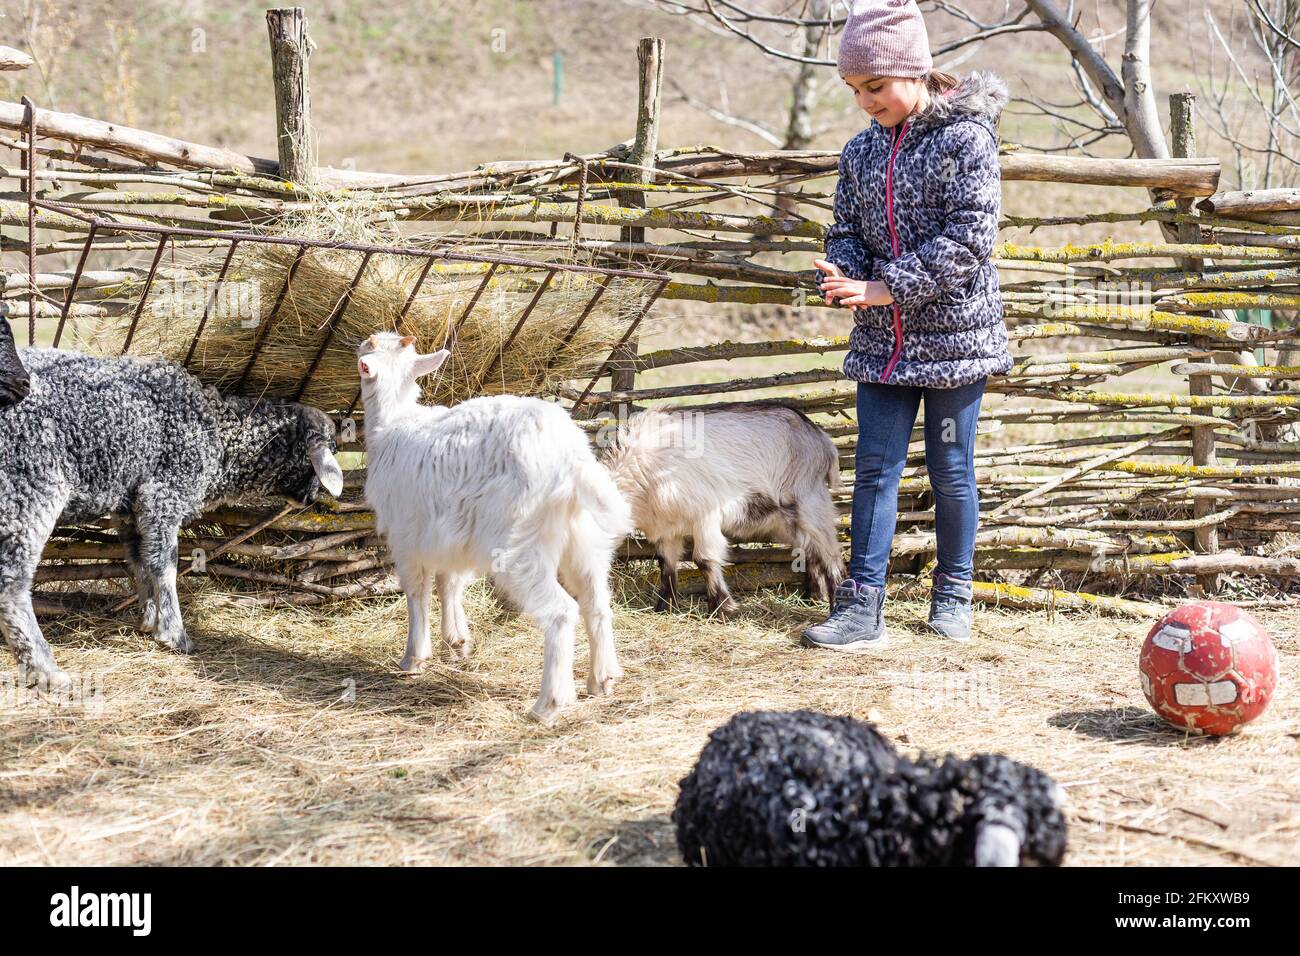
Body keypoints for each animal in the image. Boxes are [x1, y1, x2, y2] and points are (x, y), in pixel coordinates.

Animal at [0, 348, 344, 689]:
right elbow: (165, 566)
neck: (217, 433)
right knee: (11, 583)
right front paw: (174, 634)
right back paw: (45, 669)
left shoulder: (130, 509)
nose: (312, 498)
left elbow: (141, 563)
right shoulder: (163, 495)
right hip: (31, 485)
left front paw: (149, 620)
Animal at [356, 333, 633, 722]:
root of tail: (571, 458)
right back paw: (602, 679)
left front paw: (413, 658)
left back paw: (549, 703)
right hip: (585, 540)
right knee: (597, 602)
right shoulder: (450, 534)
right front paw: (457, 641)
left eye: (370, 346)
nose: (360, 343)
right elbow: (449, 582)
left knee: (561, 612)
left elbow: (417, 591)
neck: (393, 422)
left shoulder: (407, 535)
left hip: (518, 545)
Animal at [601, 404, 845, 619]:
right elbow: (666, 563)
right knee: (811, 550)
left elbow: (704, 559)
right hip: (785, 520)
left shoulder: (704, 516)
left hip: (810, 503)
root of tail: (822, 439)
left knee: (830, 552)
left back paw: (834, 602)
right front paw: (664, 607)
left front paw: (721, 609)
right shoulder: (667, 528)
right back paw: (813, 595)